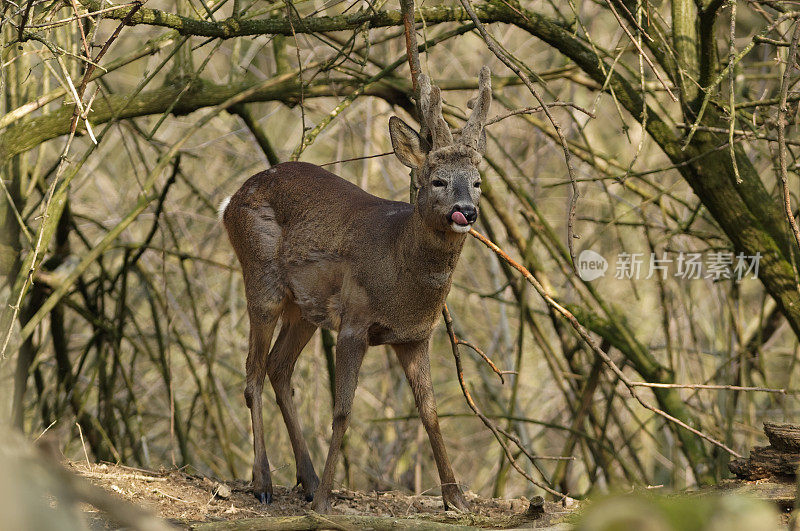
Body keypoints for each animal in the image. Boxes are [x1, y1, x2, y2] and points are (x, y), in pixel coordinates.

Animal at [220, 66, 494, 516]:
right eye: (438, 180)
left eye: (477, 182)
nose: (466, 212)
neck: (399, 273)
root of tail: (230, 200)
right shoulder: (355, 322)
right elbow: (343, 411)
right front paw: (325, 502)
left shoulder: (415, 336)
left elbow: (430, 412)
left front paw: (455, 498)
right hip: (261, 279)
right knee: (253, 372)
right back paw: (264, 483)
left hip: (305, 307)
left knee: (279, 367)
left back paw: (308, 479)